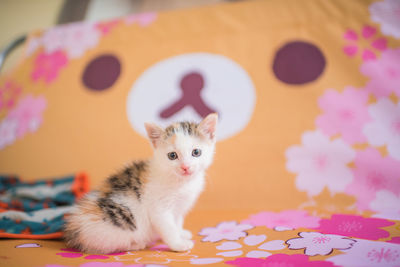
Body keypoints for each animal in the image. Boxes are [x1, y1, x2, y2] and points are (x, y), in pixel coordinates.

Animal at [63, 113, 217, 255]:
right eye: (172, 156)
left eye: (196, 152)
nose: (185, 167)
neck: (181, 182)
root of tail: (75, 231)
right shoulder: (159, 209)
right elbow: (168, 227)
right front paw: (178, 244)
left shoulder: (179, 207)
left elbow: (177, 222)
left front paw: (181, 233)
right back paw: (136, 244)